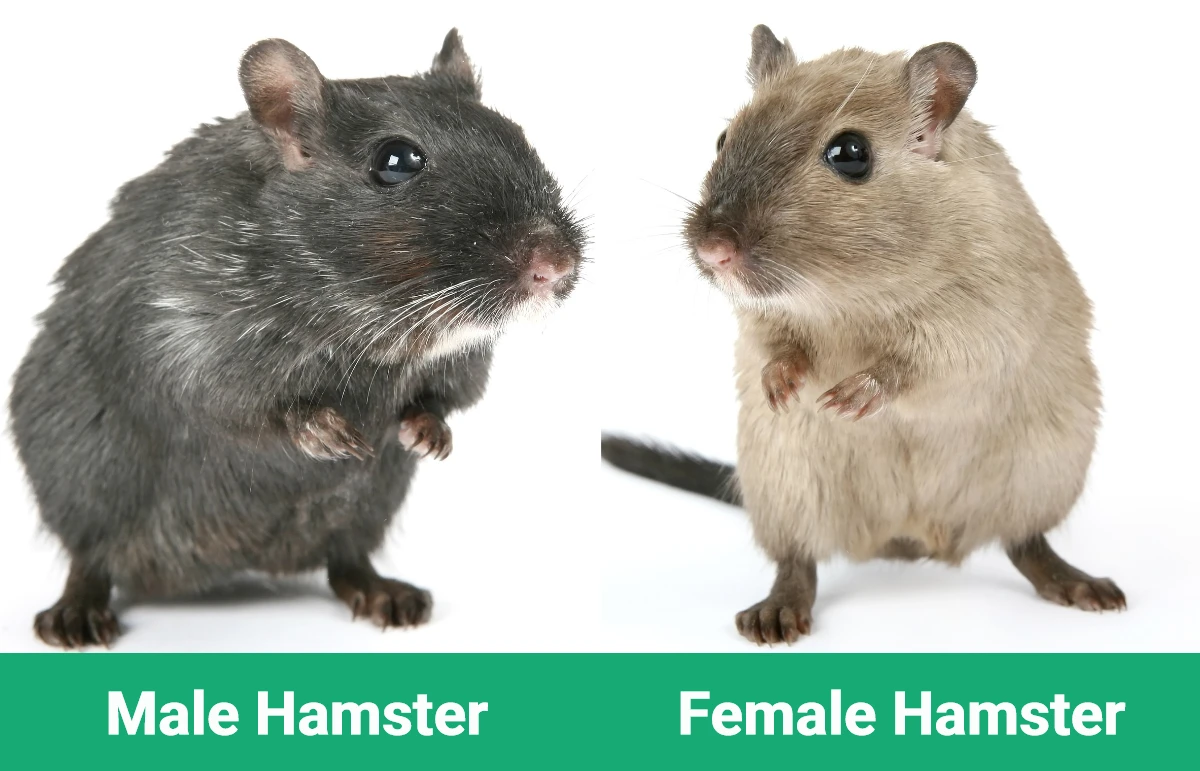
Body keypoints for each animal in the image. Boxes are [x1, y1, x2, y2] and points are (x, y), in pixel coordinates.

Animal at [10, 30, 585, 648]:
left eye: (517, 134)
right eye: (396, 161)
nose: (557, 264)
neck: (374, 327)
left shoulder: (462, 362)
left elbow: (447, 399)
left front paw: (428, 433)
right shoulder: (189, 339)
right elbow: (239, 407)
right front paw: (327, 432)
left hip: (367, 507)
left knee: (345, 558)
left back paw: (384, 593)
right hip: (87, 487)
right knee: (90, 558)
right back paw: (75, 614)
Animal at [602, 25, 1123, 645]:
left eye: (851, 154)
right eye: (723, 136)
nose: (713, 252)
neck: (848, 296)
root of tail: (908, 539)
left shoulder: (983, 318)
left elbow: (923, 364)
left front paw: (851, 397)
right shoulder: (764, 319)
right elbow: (773, 346)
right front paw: (782, 387)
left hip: (1043, 475)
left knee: (1026, 544)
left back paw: (1084, 587)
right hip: (784, 486)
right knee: (797, 561)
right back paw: (775, 615)